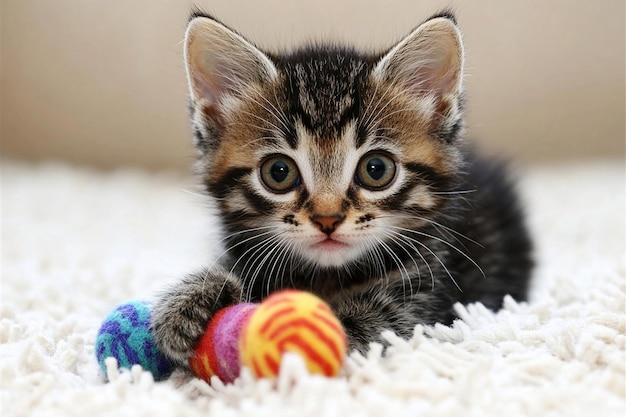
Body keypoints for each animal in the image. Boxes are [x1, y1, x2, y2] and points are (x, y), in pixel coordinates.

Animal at [151, 10, 532, 364]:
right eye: (278, 172)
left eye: (376, 169)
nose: (327, 219)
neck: (325, 276)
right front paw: (191, 300)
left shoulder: (424, 296)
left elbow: (358, 324)